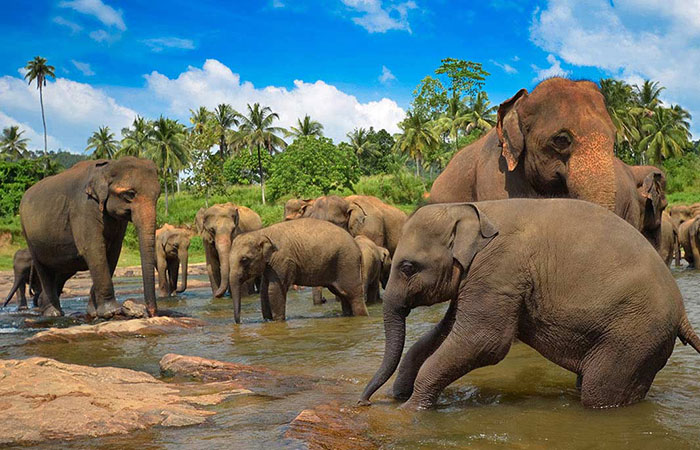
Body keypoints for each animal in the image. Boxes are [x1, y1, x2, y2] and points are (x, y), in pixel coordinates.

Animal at [20, 157, 160, 318]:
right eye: (130, 194)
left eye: (158, 195)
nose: (151, 313)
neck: (107, 167)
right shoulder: (83, 208)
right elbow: (94, 250)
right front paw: (111, 312)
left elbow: (112, 253)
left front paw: (93, 312)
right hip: (29, 237)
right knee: (44, 270)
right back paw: (53, 313)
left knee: (62, 271)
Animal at [227, 218, 367, 323]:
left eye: (244, 259)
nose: (239, 322)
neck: (261, 232)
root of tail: (358, 247)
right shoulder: (270, 265)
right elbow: (264, 290)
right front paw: (267, 321)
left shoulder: (282, 260)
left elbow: (274, 289)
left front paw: (278, 321)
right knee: (342, 294)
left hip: (347, 262)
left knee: (353, 294)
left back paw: (361, 317)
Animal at [359, 199, 700, 410]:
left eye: (408, 268)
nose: (364, 402)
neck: (476, 210)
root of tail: (682, 313)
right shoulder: (479, 277)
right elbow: (443, 333)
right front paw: (398, 395)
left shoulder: (499, 270)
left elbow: (483, 341)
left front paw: (410, 409)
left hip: (633, 336)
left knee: (598, 392)